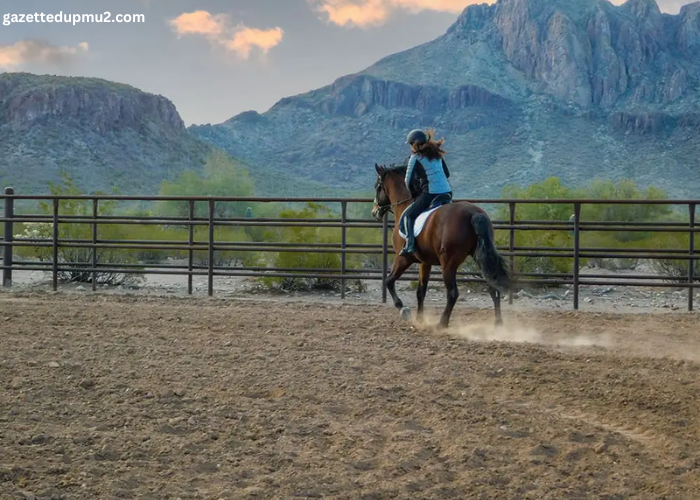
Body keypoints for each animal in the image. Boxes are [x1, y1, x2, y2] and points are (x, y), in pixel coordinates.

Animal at [372, 162, 508, 330]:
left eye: (377, 186)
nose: (375, 212)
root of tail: (473, 213)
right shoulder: (425, 263)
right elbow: (421, 291)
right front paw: (420, 319)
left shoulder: (402, 259)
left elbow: (388, 281)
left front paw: (404, 309)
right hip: (479, 257)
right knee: (493, 288)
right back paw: (498, 324)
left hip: (448, 263)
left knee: (453, 293)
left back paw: (442, 323)